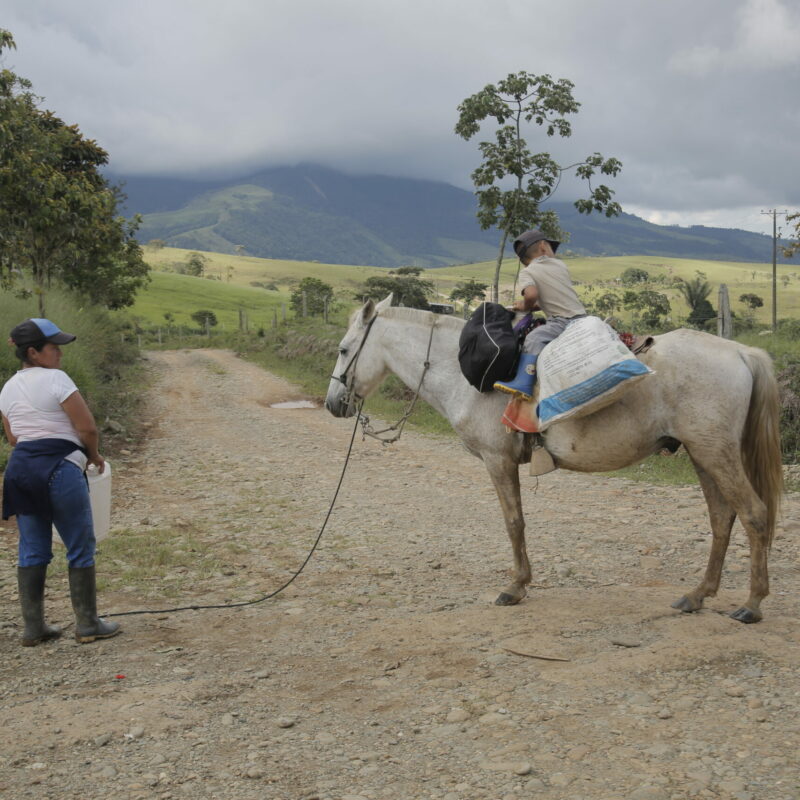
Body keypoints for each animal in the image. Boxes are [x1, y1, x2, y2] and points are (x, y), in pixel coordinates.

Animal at [324, 296, 780, 620]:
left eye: (345, 350)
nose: (333, 404)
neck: (464, 372)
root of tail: (741, 353)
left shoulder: (498, 460)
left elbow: (514, 522)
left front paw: (516, 587)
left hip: (715, 451)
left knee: (754, 514)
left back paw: (752, 604)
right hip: (703, 454)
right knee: (722, 519)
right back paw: (697, 595)